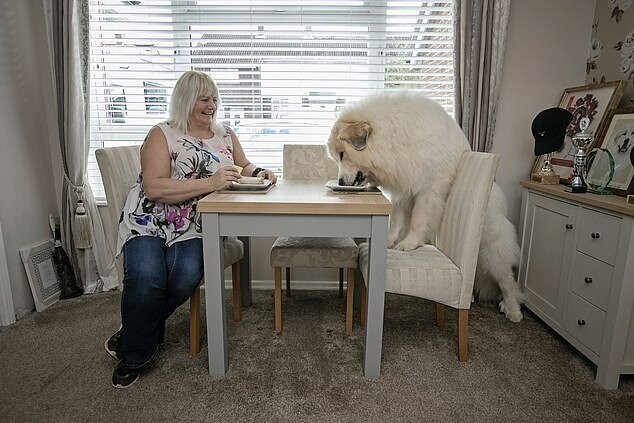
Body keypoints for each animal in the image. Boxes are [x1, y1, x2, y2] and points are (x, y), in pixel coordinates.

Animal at [328, 90, 520, 322]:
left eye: (342, 154)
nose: (339, 183)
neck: (396, 137)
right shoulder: (404, 188)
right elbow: (396, 220)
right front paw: (390, 241)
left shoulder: (428, 189)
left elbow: (418, 220)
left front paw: (409, 243)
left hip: (493, 251)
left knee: (507, 281)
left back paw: (513, 310)